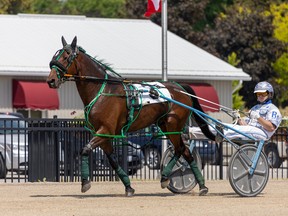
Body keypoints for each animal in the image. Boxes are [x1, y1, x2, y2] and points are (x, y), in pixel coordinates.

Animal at [46, 36, 215, 196]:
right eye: (55, 55)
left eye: (66, 56)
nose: (51, 80)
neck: (103, 91)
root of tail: (180, 87)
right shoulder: (104, 134)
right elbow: (113, 161)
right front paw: (128, 187)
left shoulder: (105, 130)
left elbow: (85, 150)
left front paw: (85, 182)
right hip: (166, 125)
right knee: (185, 151)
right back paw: (200, 185)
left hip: (173, 125)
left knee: (180, 149)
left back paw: (169, 178)